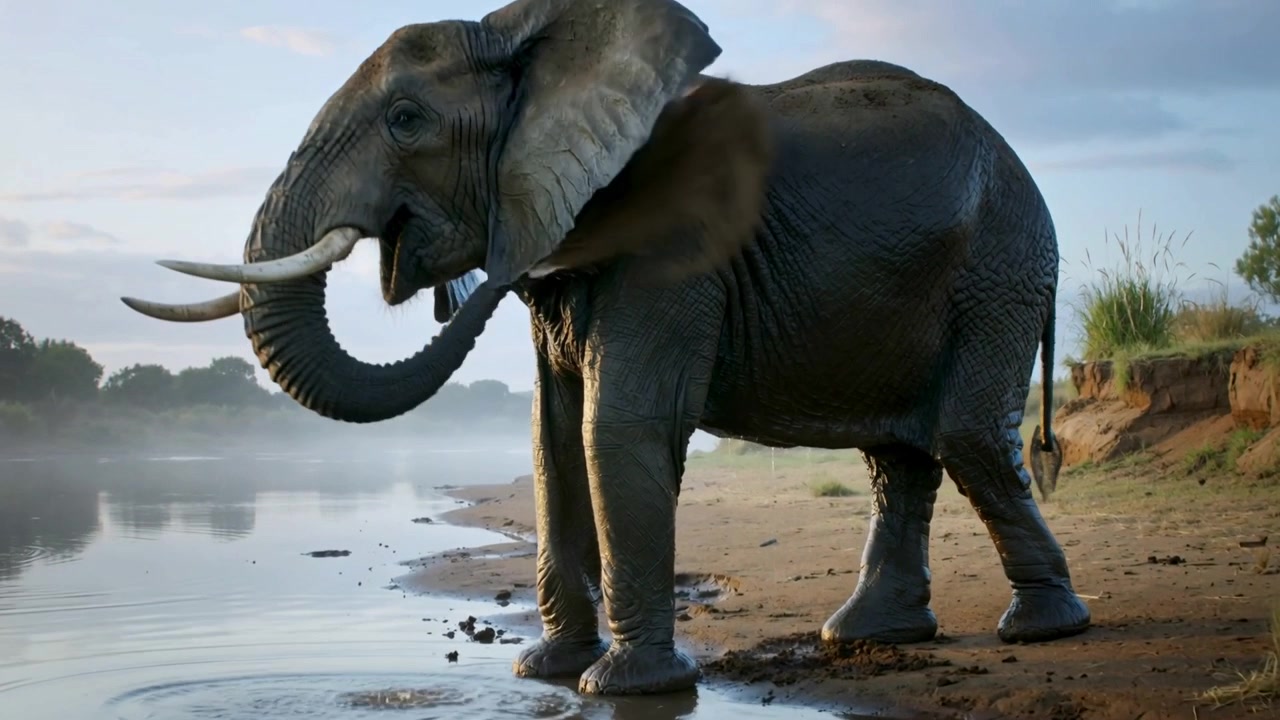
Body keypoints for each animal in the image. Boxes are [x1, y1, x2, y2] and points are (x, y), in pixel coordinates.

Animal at [122, 0, 1091, 697]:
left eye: (405, 119)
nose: (451, 269)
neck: (538, 41)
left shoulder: (675, 240)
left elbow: (615, 428)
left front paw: (625, 685)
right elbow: (551, 439)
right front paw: (545, 673)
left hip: (1000, 268)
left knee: (966, 438)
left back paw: (1044, 629)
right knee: (900, 457)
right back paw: (867, 635)